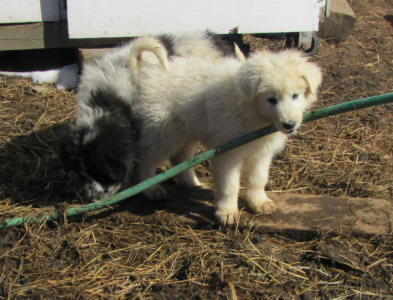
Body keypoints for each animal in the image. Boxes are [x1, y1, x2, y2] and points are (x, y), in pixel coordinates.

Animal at [133, 49, 320, 224]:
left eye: (295, 95)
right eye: (271, 99)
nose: (289, 125)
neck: (253, 113)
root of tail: (150, 69)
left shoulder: (261, 152)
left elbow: (258, 179)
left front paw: (259, 202)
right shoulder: (227, 153)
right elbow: (229, 185)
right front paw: (227, 212)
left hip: (186, 131)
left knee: (180, 158)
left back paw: (191, 182)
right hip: (162, 131)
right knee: (147, 159)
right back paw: (151, 189)